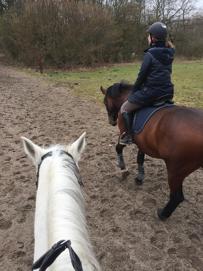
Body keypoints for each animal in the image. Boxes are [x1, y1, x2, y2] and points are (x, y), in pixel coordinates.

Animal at [100, 82, 203, 221]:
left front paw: (123, 170)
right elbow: (140, 158)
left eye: (105, 102)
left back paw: (162, 214)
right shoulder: (142, 144)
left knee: (177, 197)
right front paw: (139, 177)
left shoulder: (123, 135)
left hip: (176, 170)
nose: (111, 121)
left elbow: (118, 148)